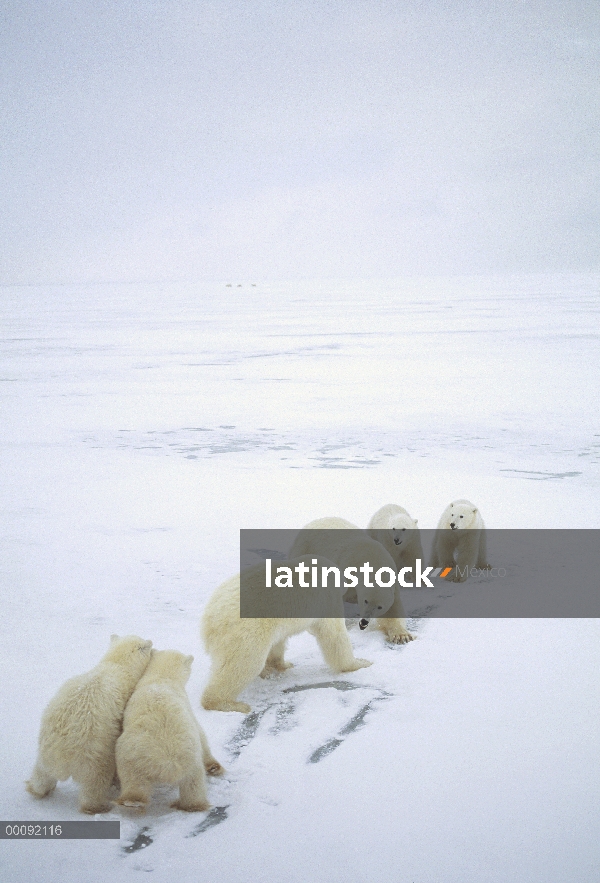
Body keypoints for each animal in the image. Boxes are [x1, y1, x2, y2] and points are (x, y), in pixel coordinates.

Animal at [26, 636, 152, 816]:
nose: (151, 643)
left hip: (45, 747)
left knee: (42, 773)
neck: (115, 666)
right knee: (95, 783)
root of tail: (62, 752)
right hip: (93, 753)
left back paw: (36, 789)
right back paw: (98, 807)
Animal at [114, 648, 223, 816]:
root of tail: (168, 763)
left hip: (134, 755)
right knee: (193, 784)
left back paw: (132, 802)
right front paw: (213, 767)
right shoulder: (188, 710)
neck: (161, 678)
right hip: (181, 758)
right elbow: (202, 735)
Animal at [202, 556, 370, 716]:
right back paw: (228, 703)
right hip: (246, 630)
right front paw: (361, 662)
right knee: (244, 663)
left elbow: (278, 642)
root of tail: (210, 620)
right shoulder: (327, 598)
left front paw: (283, 664)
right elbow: (334, 636)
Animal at [290, 516, 414, 644]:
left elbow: (393, 610)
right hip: (305, 548)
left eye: (380, 607)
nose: (364, 621)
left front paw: (402, 636)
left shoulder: (393, 584)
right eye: (365, 601)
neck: (372, 561)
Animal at [366, 508, 422, 644]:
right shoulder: (387, 542)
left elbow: (414, 559)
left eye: (404, 529)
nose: (396, 539)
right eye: (393, 528)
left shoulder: (412, 542)